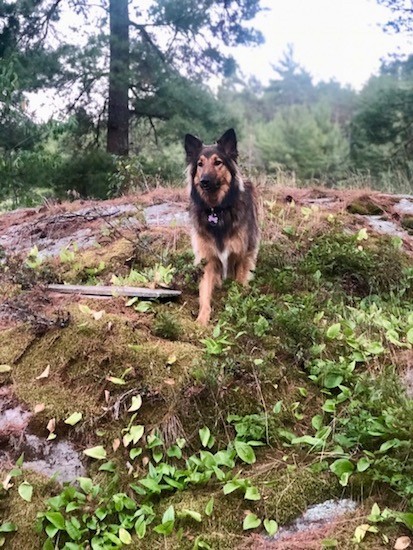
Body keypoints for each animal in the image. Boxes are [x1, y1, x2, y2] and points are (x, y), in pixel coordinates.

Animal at [184, 128, 260, 328]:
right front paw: (201, 320)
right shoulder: (208, 260)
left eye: (218, 162)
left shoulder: (242, 256)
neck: (217, 210)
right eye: (200, 164)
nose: (203, 181)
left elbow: (239, 286)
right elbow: (204, 295)